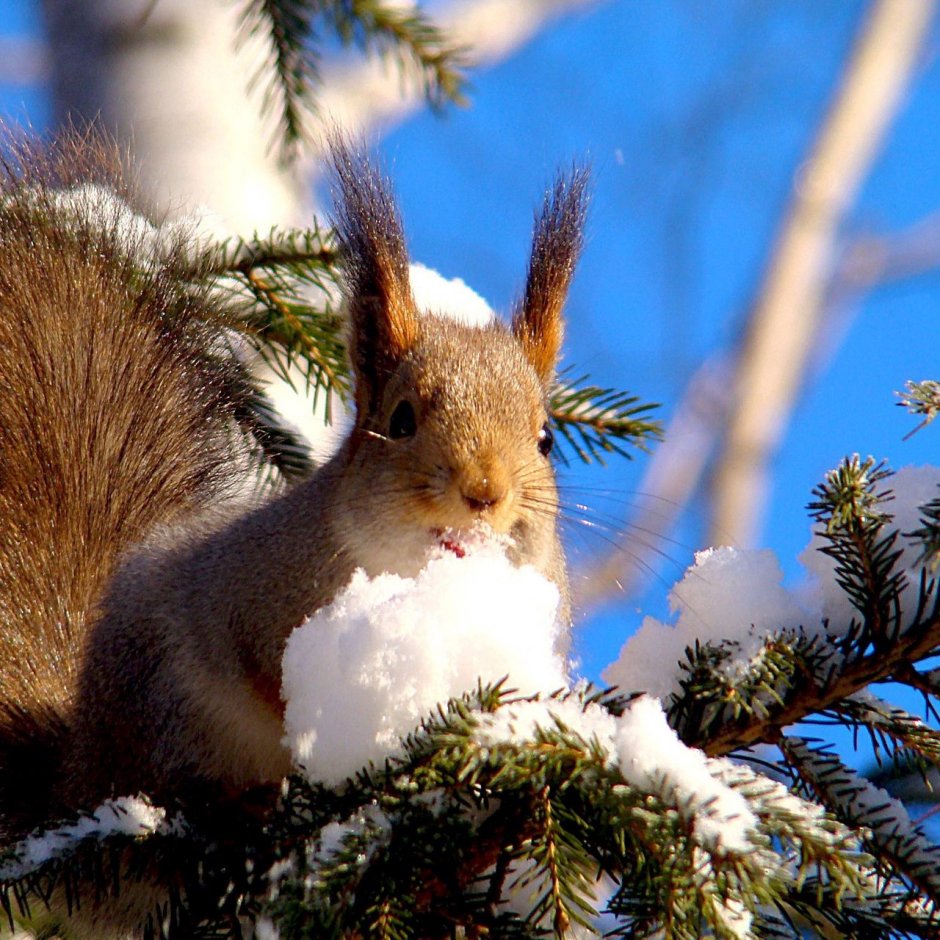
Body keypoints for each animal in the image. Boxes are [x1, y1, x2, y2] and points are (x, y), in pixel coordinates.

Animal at [0, 125, 588, 932]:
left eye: (545, 439)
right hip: (165, 720)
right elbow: (267, 678)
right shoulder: (251, 597)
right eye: (401, 419)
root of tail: (76, 777)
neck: (419, 576)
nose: (484, 492)